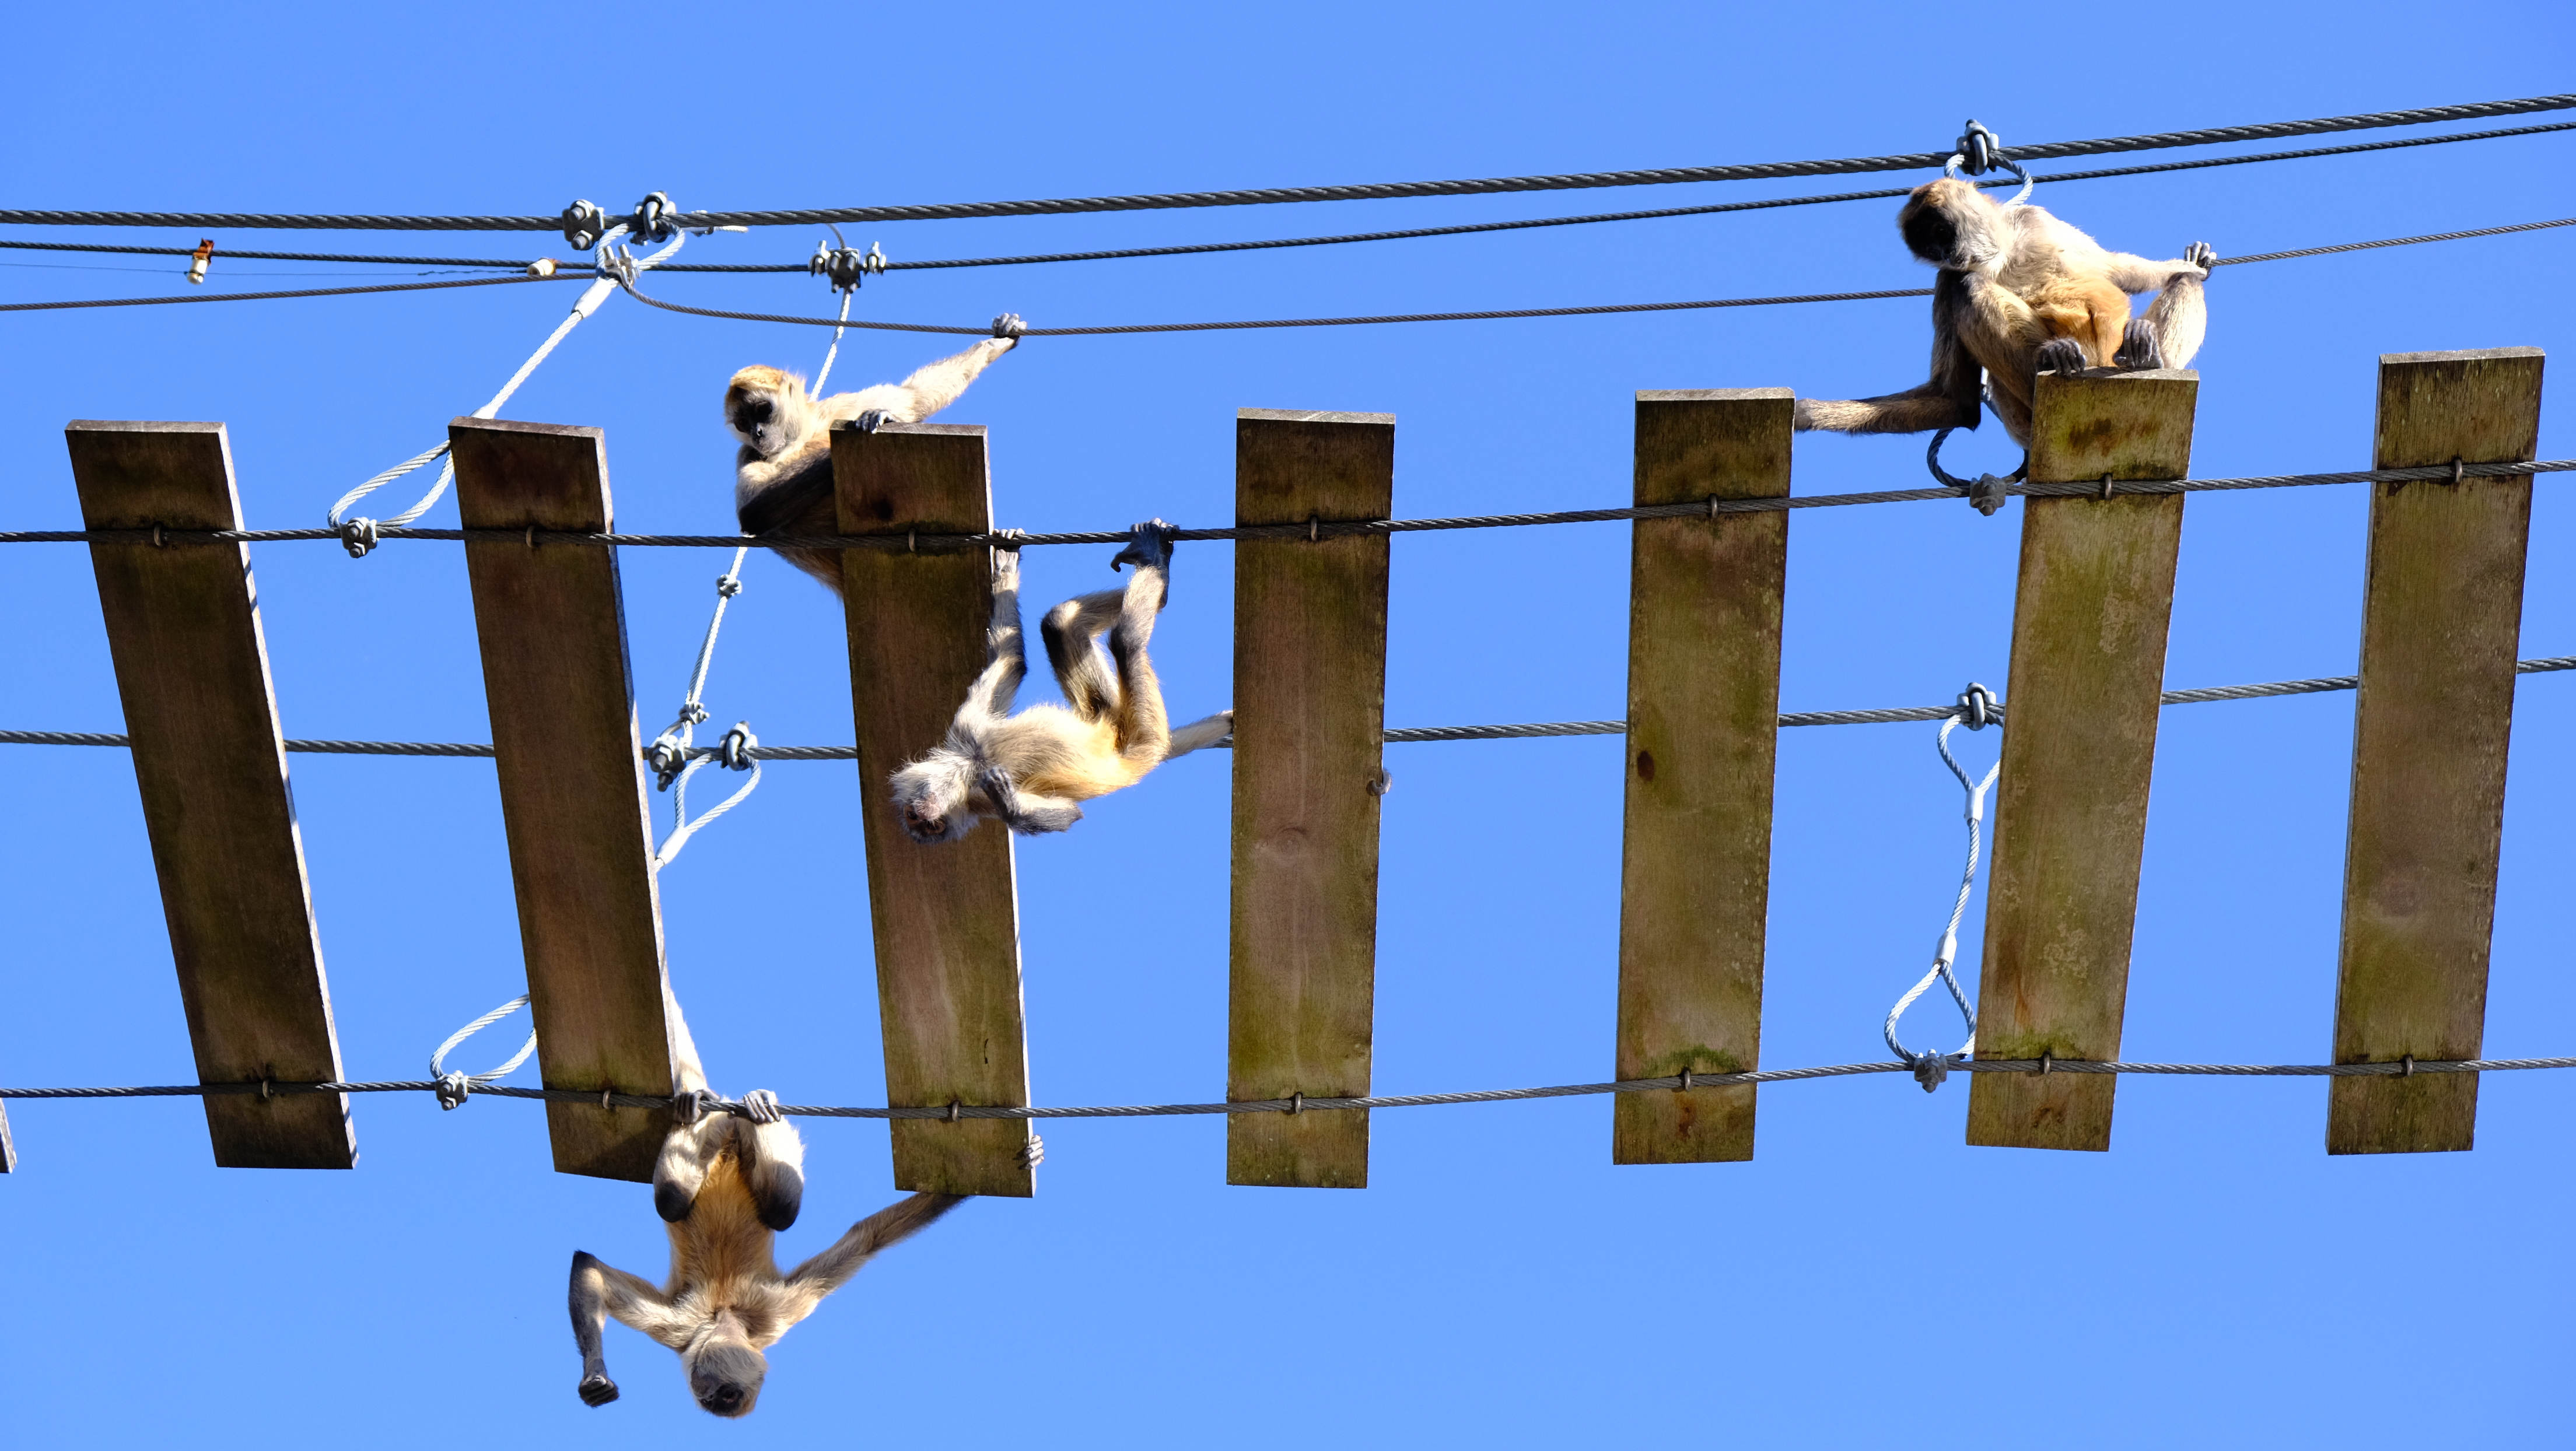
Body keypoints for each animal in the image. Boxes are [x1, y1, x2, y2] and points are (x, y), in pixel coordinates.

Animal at [569, 989, 999, 1422]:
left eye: (723, 1396)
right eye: (711, 1395)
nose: (709, 1399)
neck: (724, 1310)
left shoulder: (768, 1311)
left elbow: (867, 1238)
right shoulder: (683, 1326)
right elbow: (589, 1267)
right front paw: (595, 1377)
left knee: (770, 1209)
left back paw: (748, 1111)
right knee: (675, 1199)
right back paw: (705, 1108)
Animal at [732, 316, 1020, 593]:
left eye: (762, 410)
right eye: (743, 423)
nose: (757, 432)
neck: (801, 437)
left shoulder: (837, 406)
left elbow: (915, 397)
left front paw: (997, 342)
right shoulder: (748, 454)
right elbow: (753, 514)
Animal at [896, 523, 1236, 845]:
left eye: (919, 819)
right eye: (926, 824)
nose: (924, 821)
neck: (972, 764)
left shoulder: (967, 728)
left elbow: (1010, 658)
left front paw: (1005, 563)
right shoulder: (977, 796)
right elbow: (1071, 813)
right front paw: (1013, 809)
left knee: (1080, 627)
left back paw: (1153, 561)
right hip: (1138, 735)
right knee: (1102, 634)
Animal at [1793, 177, 2215, 448]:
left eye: (1941, 234)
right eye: (1930, 249)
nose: (1945, 253)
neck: (2001, 254)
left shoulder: (2033, 218)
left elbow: (2118, 273)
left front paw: (2194, 263)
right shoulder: (1945, 276)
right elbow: (1956, 403)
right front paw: (1808, 414)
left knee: (2181, 284)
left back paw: (2149, 355)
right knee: (1969, 287)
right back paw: (2055, 358)